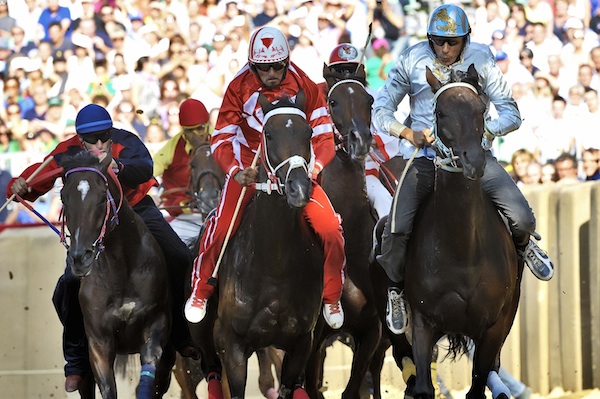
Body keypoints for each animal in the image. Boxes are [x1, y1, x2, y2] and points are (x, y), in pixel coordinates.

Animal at [59, 152, 175, 398]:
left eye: (103, 197)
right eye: (64, 198)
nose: (80, 257)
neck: (120, 270)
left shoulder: (157, 322)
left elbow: (150, 364)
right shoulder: (98, 344)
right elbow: (107, 387)